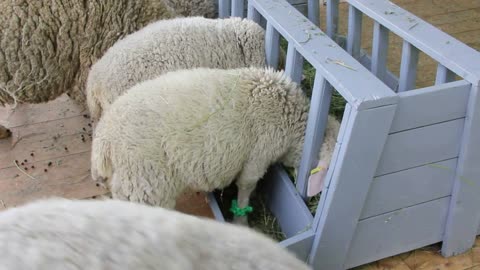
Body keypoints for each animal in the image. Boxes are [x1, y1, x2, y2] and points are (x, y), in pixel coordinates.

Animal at [91, 66, 342, 225]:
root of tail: (104, 140)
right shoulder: (258, 157)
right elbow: (246, 187)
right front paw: (241, 221)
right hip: (145, 185)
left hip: (127, 184)